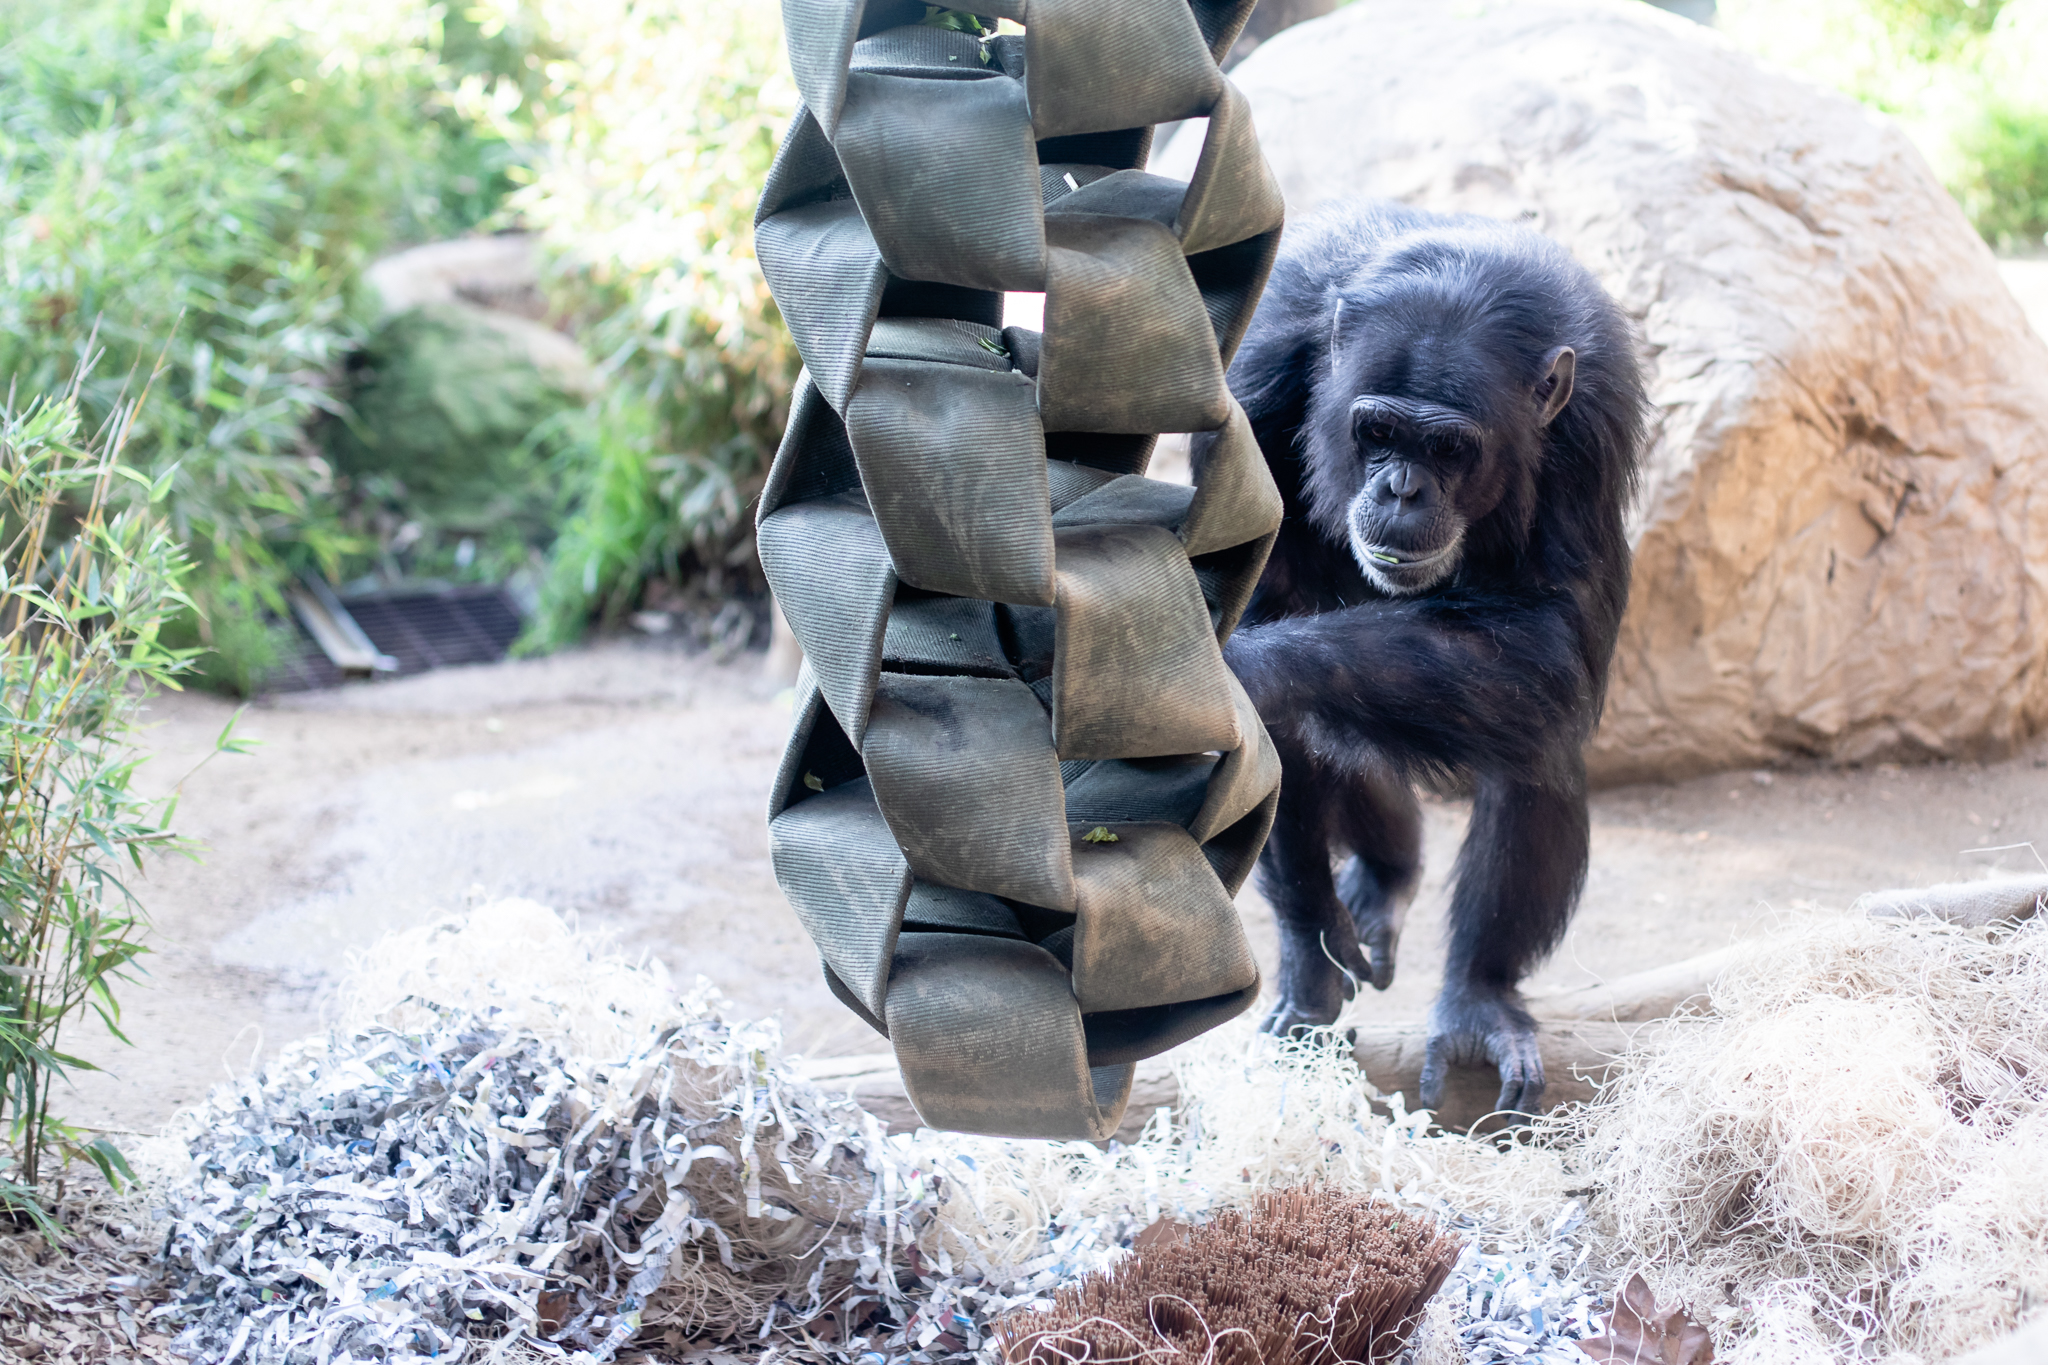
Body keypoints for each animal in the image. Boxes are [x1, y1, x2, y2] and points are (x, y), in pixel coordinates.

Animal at [1196, 202, 1646, 1113]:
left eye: (1448, 450)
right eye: (1378, 432)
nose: (1401, 489)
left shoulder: (1594, 429)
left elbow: (1545, 649)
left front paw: (1245, 676)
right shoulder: (1254, 383)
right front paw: (1311, 939)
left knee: (1529, 727)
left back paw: (1478, 995)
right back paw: (1340, 928)